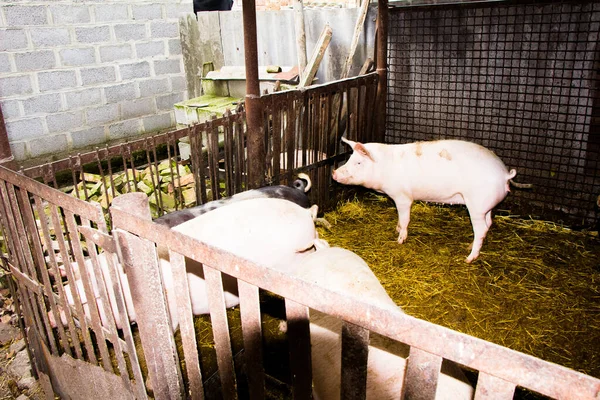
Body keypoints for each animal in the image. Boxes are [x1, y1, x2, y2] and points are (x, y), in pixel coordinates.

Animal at [332, 138, 524, 262]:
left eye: (358, 163)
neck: (384, 169)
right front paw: (396, 229)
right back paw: (469, 247)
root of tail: (505, 174)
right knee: (489, 223)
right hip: (485, 206)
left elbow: (405, 218)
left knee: (482, 229)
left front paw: (399, 240)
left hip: (476, 205)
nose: (334, 173)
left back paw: (468, 258)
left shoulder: (403, 197)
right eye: (349, 159)